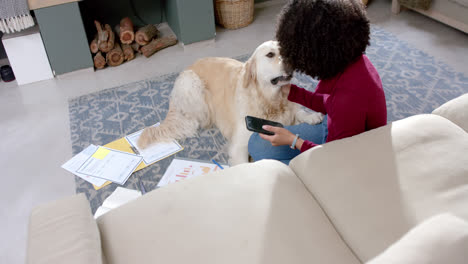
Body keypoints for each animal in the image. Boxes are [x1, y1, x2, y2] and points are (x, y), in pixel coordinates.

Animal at [137, 40, 324, 165]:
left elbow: (299, 110)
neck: (270, 100)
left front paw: (313, 116)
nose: (294, 61)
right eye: (270, 54)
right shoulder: (240, 144)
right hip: (192, 84)